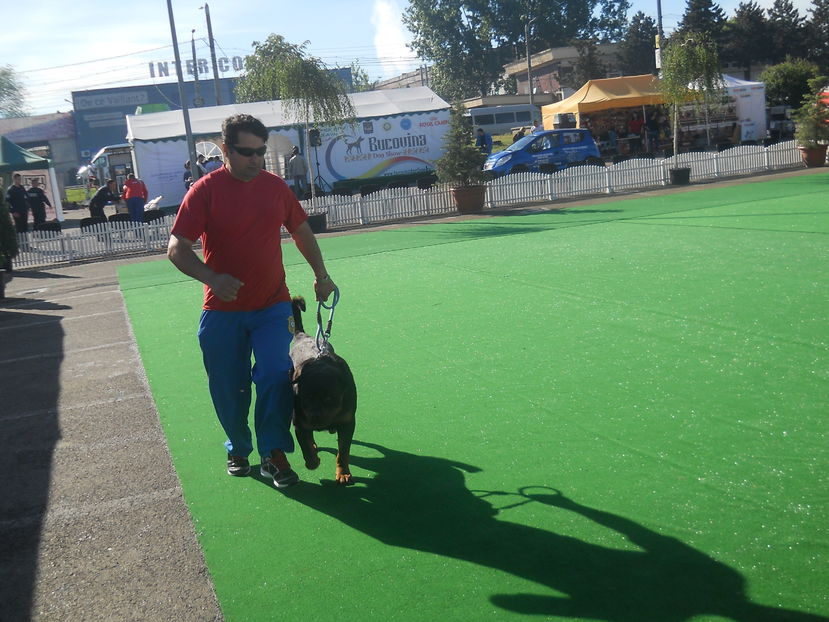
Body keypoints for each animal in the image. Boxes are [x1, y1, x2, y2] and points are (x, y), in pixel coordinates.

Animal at [292, 298, 356, 488]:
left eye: (329, 398)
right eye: (305, 398)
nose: (314, 417)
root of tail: (301, 335)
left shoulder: (348, 423)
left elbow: (343, 452)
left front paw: (343, 473)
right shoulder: (299, 423)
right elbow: (305, 447)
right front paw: (312, 461)